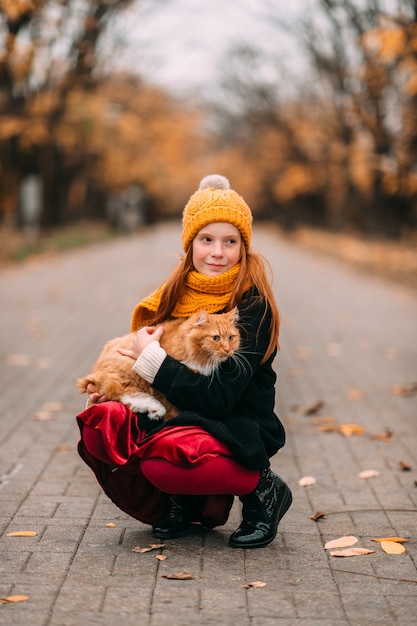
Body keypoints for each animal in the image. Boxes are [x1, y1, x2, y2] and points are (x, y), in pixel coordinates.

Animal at [76, 308, 239, 420]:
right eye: (216, 338)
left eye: (231, 338)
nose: (228, 350)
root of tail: (95, 370)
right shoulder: (163, 389)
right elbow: (172, 409)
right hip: (128, 369)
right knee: (120, 391)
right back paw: (155, 408)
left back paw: (154, 411)